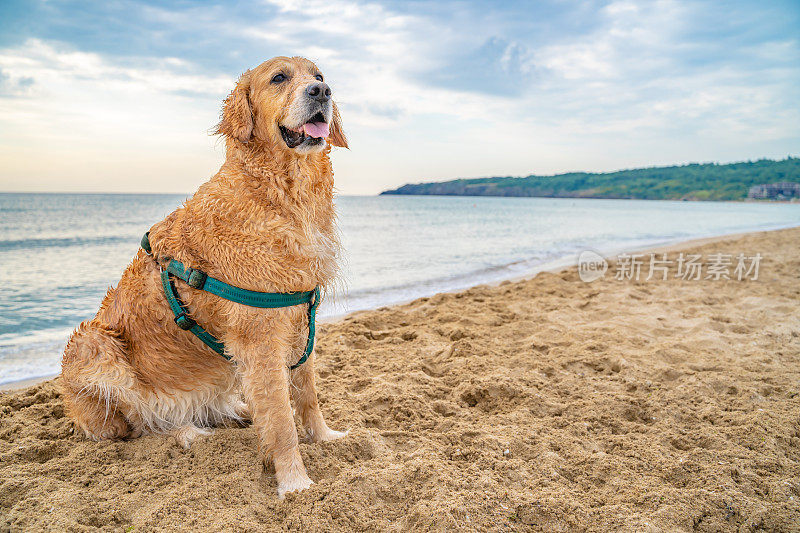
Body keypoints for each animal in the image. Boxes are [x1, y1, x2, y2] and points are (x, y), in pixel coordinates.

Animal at [61, 56, 348, 496]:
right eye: (279, 78)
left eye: (318, 76)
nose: (322, 92)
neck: (283, 195)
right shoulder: (260, 336)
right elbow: (282, 420)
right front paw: (295, 483)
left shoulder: (300, 317)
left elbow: (307, 396)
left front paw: (326, 438)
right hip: (95, 346)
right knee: (140, 424)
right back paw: (186, 432)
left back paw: (235, 410)